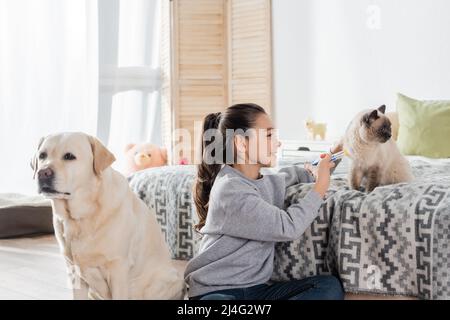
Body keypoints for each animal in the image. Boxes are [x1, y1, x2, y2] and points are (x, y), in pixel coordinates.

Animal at [31, 132, 185, 300]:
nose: (42, 173)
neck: (82, 215)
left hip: (165, 282)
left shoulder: (118, 269)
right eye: (42, 155)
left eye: (69, 156)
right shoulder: (74, 273)